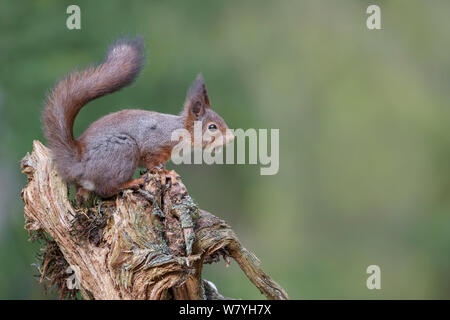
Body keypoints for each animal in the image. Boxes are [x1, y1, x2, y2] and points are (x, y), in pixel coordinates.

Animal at [41, 37, 236, 198]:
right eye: (212, 127)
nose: (232, 138)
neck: (179, 130)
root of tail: (76, 163)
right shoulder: (155, 145)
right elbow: (153, 163)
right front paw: (167, 174)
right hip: (123, 149)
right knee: (106, 189)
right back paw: (132, 183)